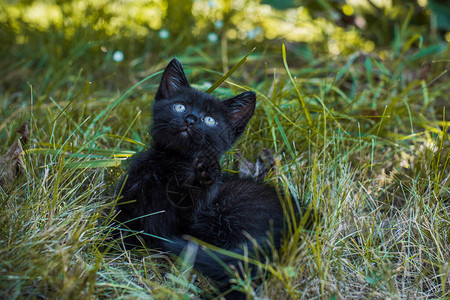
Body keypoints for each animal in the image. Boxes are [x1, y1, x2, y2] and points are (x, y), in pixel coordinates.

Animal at [114, 58, 300, 298]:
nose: (190, 119)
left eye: (210, 120)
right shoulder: (126, 203)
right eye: (180, 106)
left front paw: (206, 172)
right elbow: (115, 227)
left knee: (244, 271)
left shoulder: (187, 220)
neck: (171, 165)